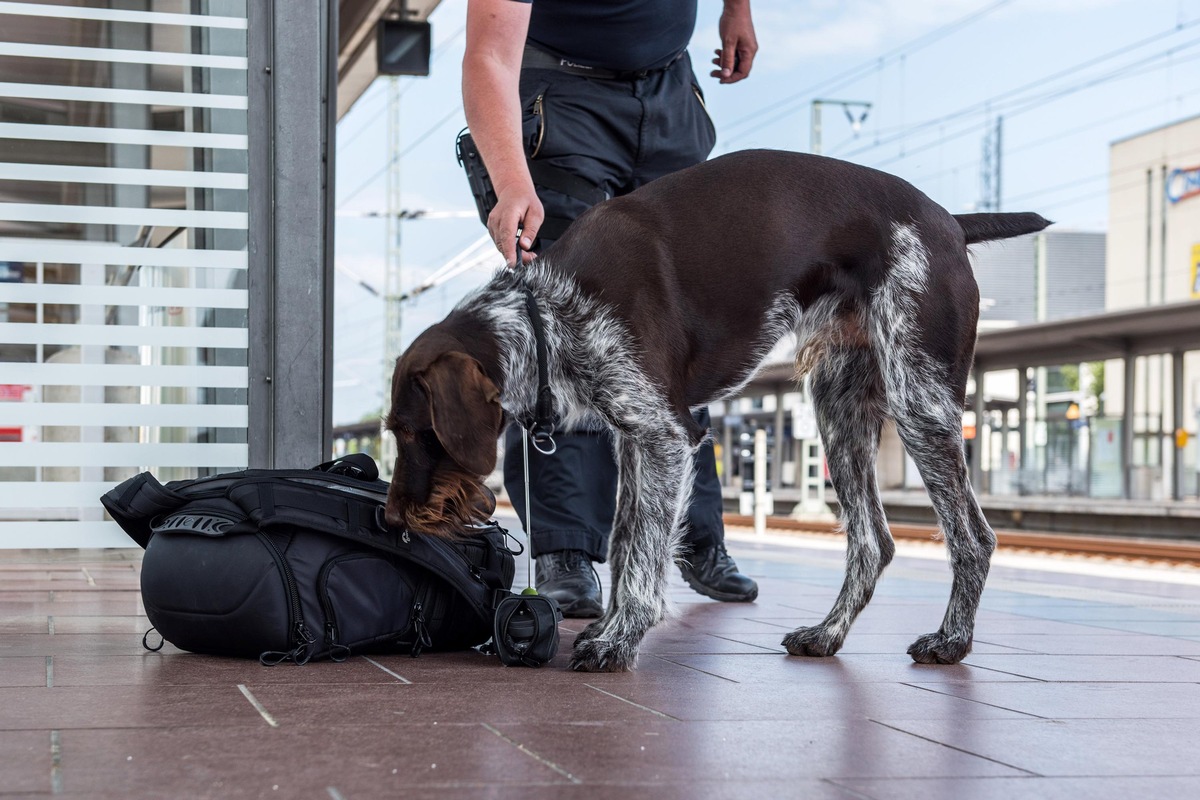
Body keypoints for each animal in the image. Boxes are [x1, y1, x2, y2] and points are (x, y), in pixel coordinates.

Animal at [384, 148, 1051, 671]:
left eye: (416, 433)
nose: (390, 521)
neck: (545, 314)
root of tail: (950, 223)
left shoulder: (663, 436)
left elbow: (643, 552)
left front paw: (618, 640)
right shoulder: (636, 437)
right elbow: (627, 543)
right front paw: (610, 627)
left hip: (920, 399)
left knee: (972, 537)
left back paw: (951, 641)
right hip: (840, 409)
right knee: (872, 542)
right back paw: (827, 634)